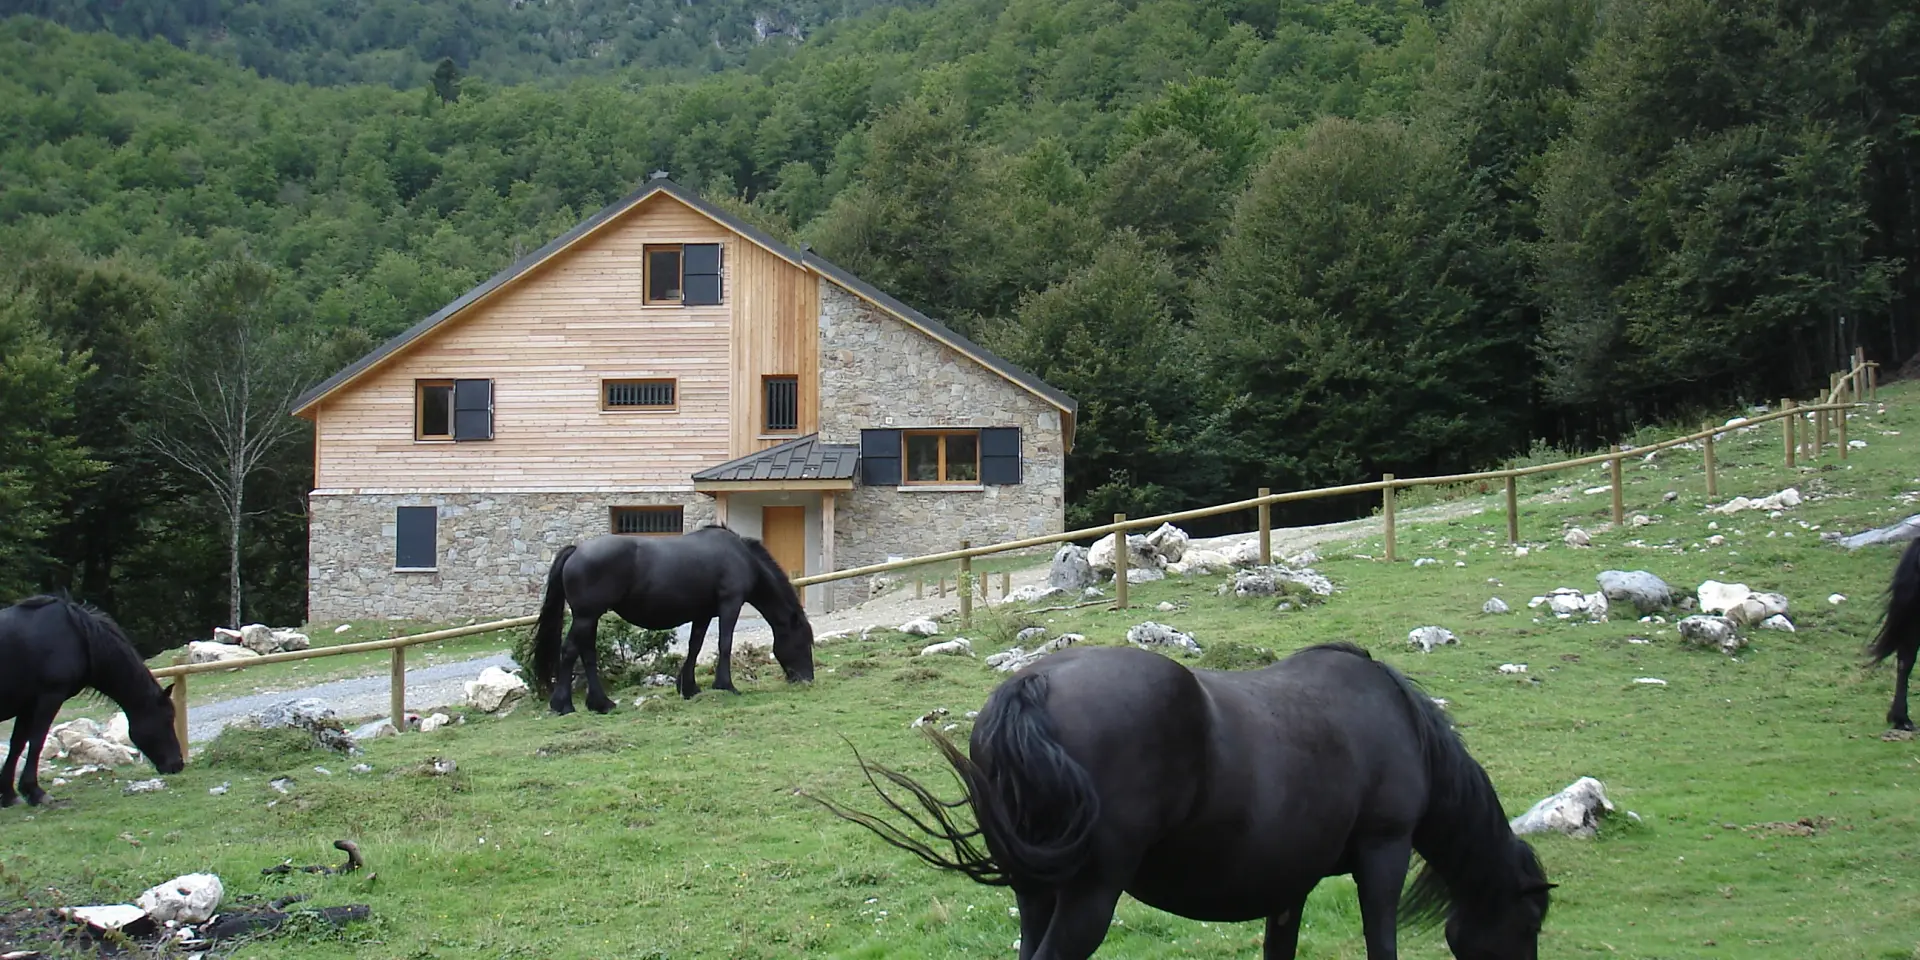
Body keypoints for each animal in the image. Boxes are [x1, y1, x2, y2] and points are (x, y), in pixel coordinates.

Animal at [1, 595, 185, 807]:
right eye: (167, 719)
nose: (177, 764)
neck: (76, 634)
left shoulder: (27, 705)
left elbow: (17, 744)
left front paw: (9, 794)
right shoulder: (48, 697)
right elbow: (36, 741)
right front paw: (35, 792)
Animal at [530, 525, 815, 713]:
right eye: (802, 642)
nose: (807, 678)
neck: (741, 557)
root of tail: (577, 550)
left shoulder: (703, 613)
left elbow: (695, 646)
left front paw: (688, 688)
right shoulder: (730, 604)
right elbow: (724, 644)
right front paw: (725, 686)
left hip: (589, 618)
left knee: (587, 654)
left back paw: (602, 703)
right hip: (586, 616)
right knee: (569, 651)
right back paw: (563, 705)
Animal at [809, 642, 1551, 959]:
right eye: (1531, 922)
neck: (1400, 723)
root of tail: (1032, 688)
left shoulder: (1290, 884)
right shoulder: (1384, 850)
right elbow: (1381, 943)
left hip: (1037, 893)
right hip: (1088, 896)